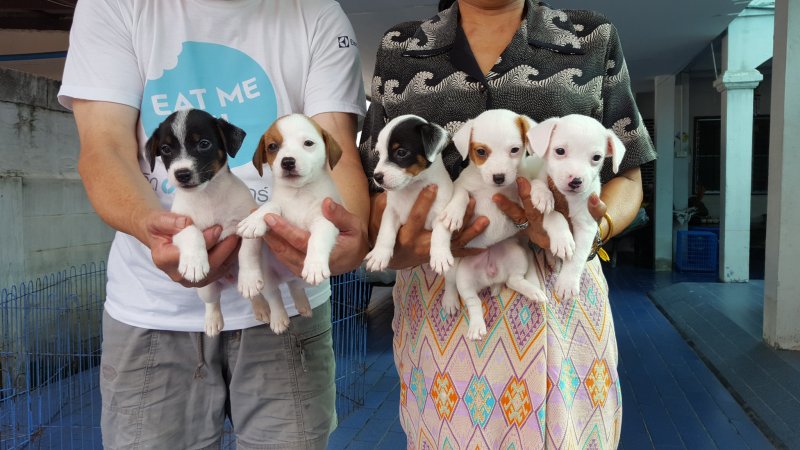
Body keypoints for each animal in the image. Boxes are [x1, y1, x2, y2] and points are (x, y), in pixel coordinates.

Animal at [145, 108, 270, 337]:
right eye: (166, 149)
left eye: (204, 144)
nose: (182, 174)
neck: (207, 195)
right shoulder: (178, 224)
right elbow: (191, 231)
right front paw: (194, 263)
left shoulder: (246, 221)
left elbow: (246, 249)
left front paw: (248, 278)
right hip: (207, 288)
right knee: (213, 302)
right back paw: (213, 322)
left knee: (253, 294)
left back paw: (260, 305)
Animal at [237, 113, 343, 331]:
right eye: (272, 146)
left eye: (308, 143)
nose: (287, 162)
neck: (298, 194)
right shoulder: (276, 213)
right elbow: (268, 210)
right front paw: (254, 221)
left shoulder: (325, 219)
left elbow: (318, 238)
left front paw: (314, 264)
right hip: (268, 279)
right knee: (275, 296)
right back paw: (279, 318)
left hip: (301, 280)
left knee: (295, 286)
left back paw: (302, 304)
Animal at [364, 114, 461, 312]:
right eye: (378, 153)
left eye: (401, 152)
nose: (377, 177)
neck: (413, 188)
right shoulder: (391, 212)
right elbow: (385, 233)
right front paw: (379, 254)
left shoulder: (441, 212)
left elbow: (439, 234)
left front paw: (439, 255)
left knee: (451, 279)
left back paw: (450, 300)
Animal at [439, 109, 547, 340]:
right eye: (481, 151)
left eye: (514, 150)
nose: (499, 177)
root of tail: (492, 277)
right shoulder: (462, 186)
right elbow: (461, 194)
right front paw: (453, 212)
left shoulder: (521, 184)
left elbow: (532, 182)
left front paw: (541, 194)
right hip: (464, 278)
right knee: (471, 300)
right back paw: (473, 322)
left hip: (516, 256)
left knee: (513, 280)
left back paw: (532, 291)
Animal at [526, 114, 626, 299]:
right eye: (560, 151)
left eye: (596, 157)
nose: (576, 181)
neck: (569, 199)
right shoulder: (539, 185)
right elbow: (554, 212)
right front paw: (544, 197)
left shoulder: (587, 225)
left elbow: (578, 256)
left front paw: (567, 283)